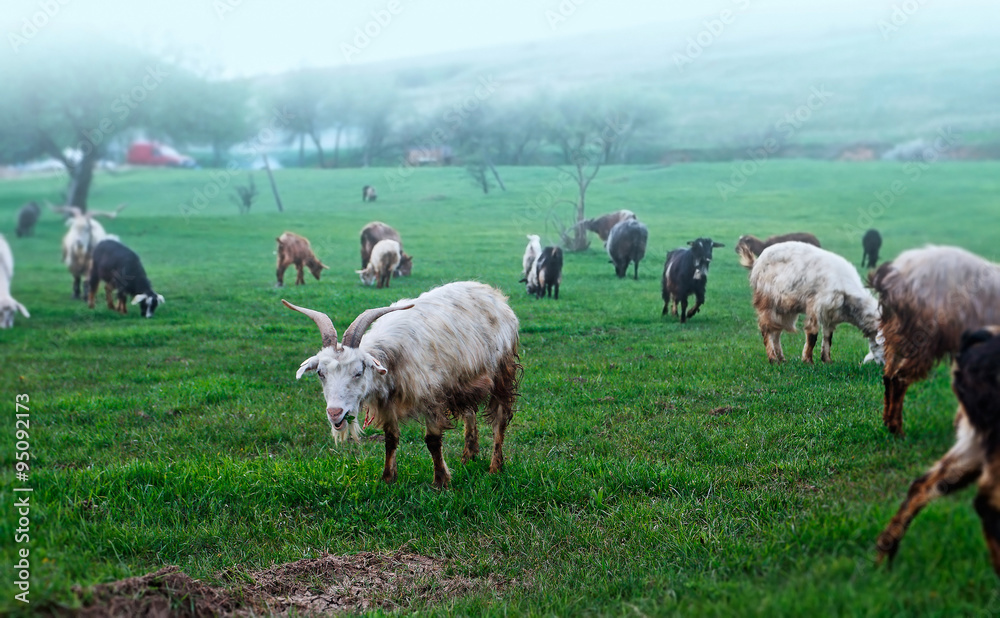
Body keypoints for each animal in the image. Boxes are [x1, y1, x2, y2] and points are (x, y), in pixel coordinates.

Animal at [283, 280, 520, 488]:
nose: (334, 413)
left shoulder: (431, 396)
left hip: (502, 370)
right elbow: (390, 439)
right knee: (470, 411)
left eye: (358, 372)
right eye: (321, 373)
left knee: (500, 418)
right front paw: (388, 478)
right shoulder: (387, 401)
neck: (392, 360)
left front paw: (441, 481)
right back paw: (469, 456)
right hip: (464, 379)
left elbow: (433, 440)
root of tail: (493, 294)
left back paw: (495, 467)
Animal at [738, 241, 883, 364]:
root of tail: (756, 263)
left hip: (782, 308)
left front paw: (827, 360)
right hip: (767, 301)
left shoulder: (830, 313)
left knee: (776, 331)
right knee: (766, 329)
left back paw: (781, 358)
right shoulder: (816, 306)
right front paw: (808, 360)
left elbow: (828, 337)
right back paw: (773, 359)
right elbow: (812, 334)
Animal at [871, 245, 1000, 435]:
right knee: (899, 379)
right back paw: (897, 429)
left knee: (888, 376)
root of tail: (894, 276)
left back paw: (887, 422)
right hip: (922, 339)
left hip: (896, 335)